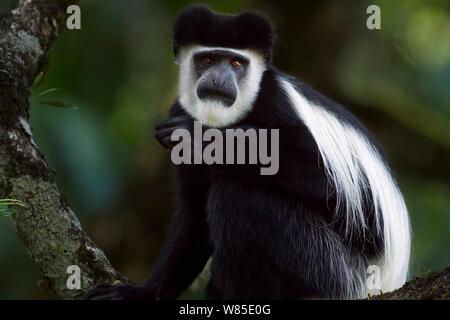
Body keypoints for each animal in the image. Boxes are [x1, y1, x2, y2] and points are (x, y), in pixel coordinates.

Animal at [86, 4, 410, 300]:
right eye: (207, 59)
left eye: (235, 63)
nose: (218, 78)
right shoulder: (179, 110)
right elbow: (194, 216)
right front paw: (142, 293)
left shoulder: (277, 103)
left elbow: (330, 188)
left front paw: (203, 137)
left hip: (332, 268)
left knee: (241, 197)